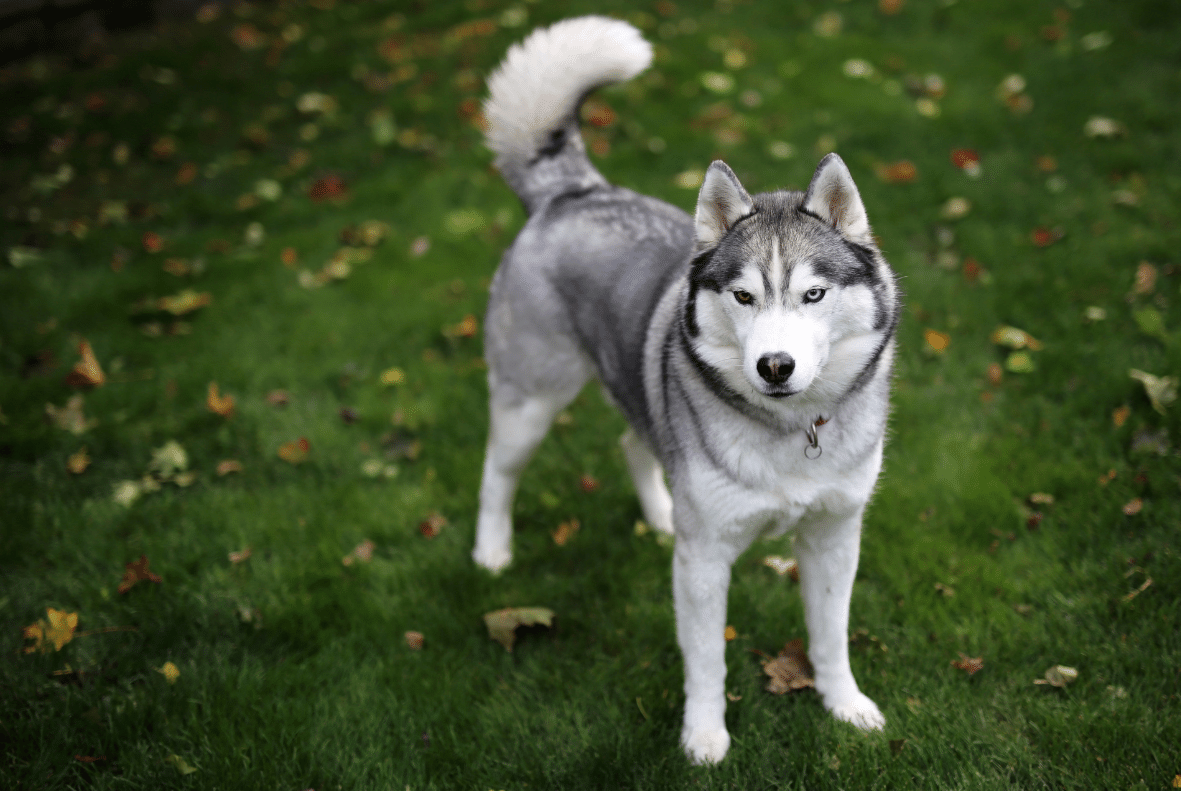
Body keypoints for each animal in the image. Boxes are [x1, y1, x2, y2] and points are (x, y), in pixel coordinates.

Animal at [474, 17, 897, 760]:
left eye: (813, 294)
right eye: (744, 296)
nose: (775, 366)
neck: (789, 436)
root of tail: (576, 192)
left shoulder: (834, 537)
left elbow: (830, 635)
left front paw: (843, 704)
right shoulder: (703, 562)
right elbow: (705, 658)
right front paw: (703, 734)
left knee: (632, 441)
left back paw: (660, 513)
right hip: (531, 399)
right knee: (497, 470)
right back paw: (491, 551)